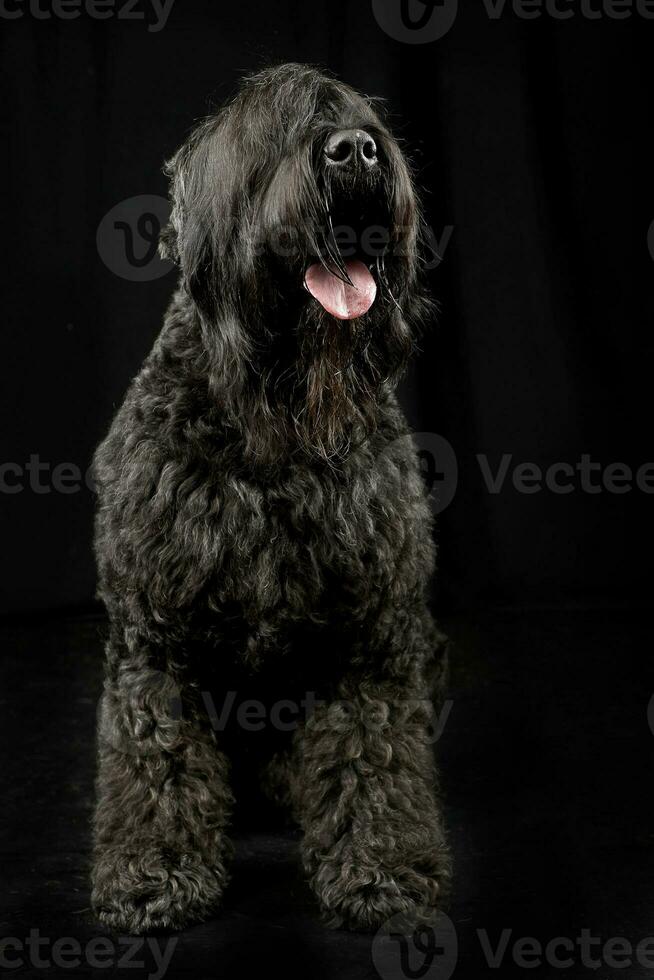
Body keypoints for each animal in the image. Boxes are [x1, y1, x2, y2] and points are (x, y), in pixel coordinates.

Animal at [91, 61, 452, 936]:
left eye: (361, 118)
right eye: (265, 134)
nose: (355, 150)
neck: (270, 427)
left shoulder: (373, 632)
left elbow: (372, 752)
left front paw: (382, 869)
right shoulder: (152, 636)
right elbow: (157, 756)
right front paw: (153, 872)